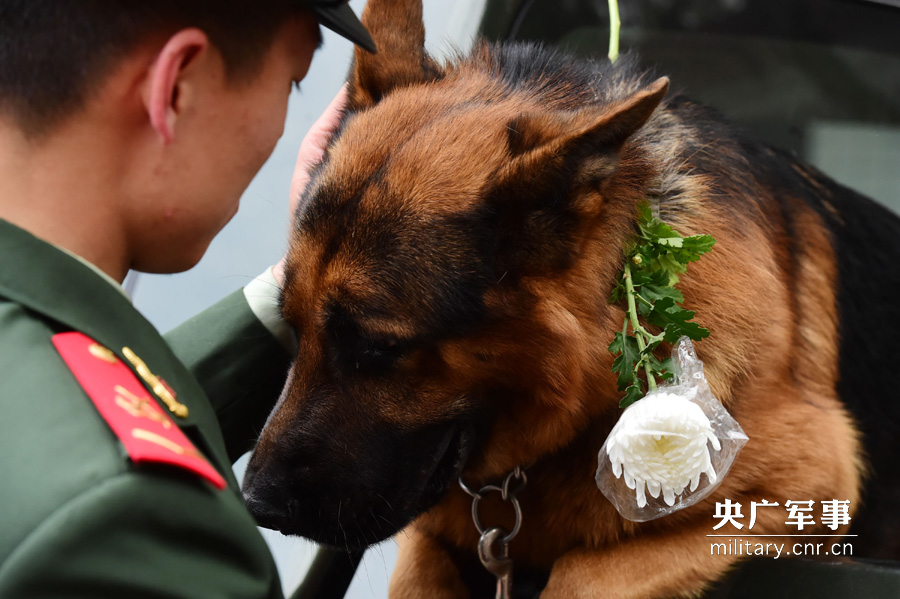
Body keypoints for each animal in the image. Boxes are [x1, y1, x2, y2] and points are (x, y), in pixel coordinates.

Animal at [241, 0, 900, 596]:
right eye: (289, 323)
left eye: (378, 348)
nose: (254, 505)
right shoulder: (431, 537)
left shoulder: (804, 482)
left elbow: (580, 573)